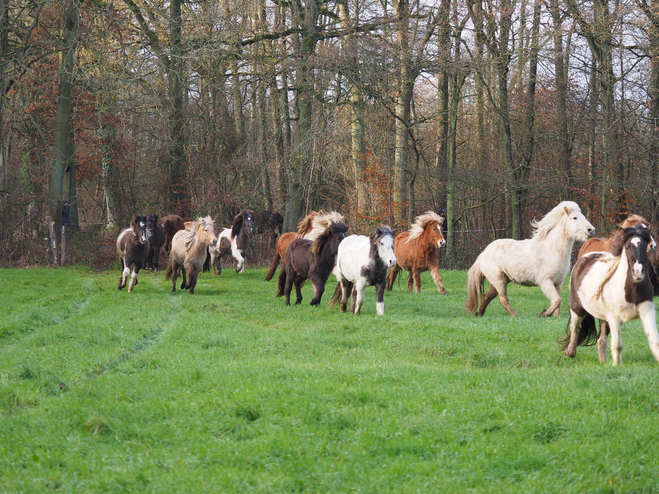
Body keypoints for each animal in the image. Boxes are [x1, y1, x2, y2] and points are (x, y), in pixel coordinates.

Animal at [464, 201, 600, 316]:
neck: (553, 249)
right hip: (499, 281)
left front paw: (556, 317)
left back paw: (479, 314)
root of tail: (484, 253)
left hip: (499, 281)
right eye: (574, 218)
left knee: (486, 297)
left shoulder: (558, 282)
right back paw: (515, 316)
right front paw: (544, 313)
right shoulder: (545, 281)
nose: (591, 230)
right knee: (503, 300)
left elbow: (559, 302)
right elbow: (556, 300)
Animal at [560, 225, 659, 366]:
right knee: (575, 327)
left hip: (603, 317)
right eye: (627, 247)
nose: (638, 272)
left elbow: (655, 342)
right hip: (577, 308)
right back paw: (570, 352)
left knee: (600, 339)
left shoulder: (647, 312)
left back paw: (602, 362)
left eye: (645, 246)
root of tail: (584, 258)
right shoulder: (614, 318)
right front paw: (616, 366)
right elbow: (617, 345)